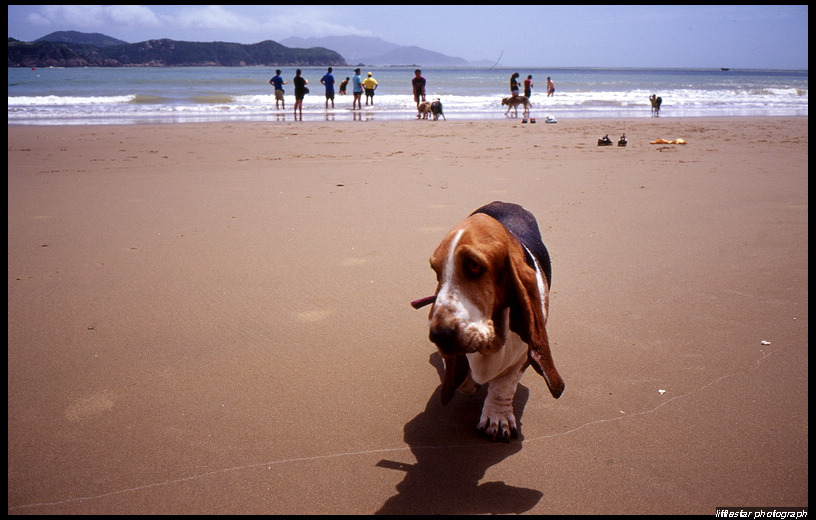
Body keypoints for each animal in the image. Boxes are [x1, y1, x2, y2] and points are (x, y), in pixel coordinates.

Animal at [414, 201, 560, 440]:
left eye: (474, 266)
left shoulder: (524, 354)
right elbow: (463, 377)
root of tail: (504, 202)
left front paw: (497, 417)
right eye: (437, 271)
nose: (438, 335)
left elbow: (504, 384)